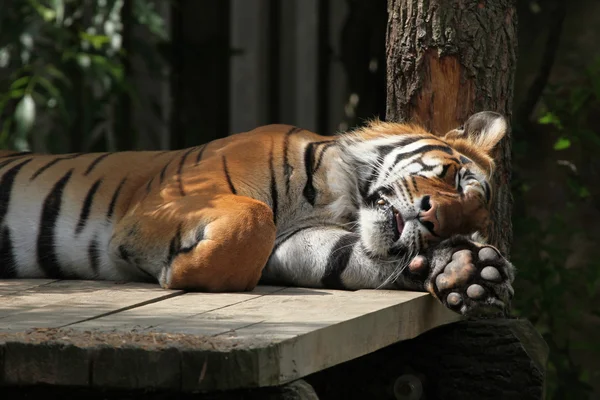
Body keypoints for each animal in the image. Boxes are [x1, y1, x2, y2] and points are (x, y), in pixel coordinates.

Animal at [0, 110, 516, 316]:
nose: (434, 222)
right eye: (456, 179)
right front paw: (179, 270)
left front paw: (465, 268)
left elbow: (345, 259)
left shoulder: (300, 244)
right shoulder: (160, 202)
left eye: (464, 225)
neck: (340, 198)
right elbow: (253, 214)